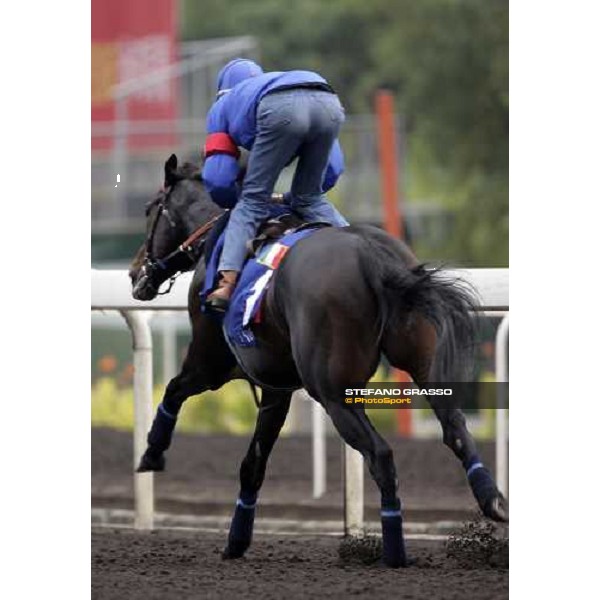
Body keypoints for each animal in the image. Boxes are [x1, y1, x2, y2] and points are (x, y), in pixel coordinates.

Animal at [129, 155, 508, 568]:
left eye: (150, 209)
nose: (134, 273)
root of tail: (372, 257)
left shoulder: (210, 364)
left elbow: (173, 390)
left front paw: (151, 453)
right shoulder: (275, 388)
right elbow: (252, 465)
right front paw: (236, 541)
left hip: (333, 392)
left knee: (381, 453)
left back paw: (393, 551)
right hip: (423, 364)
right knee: (454, 428)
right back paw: (493, 501)